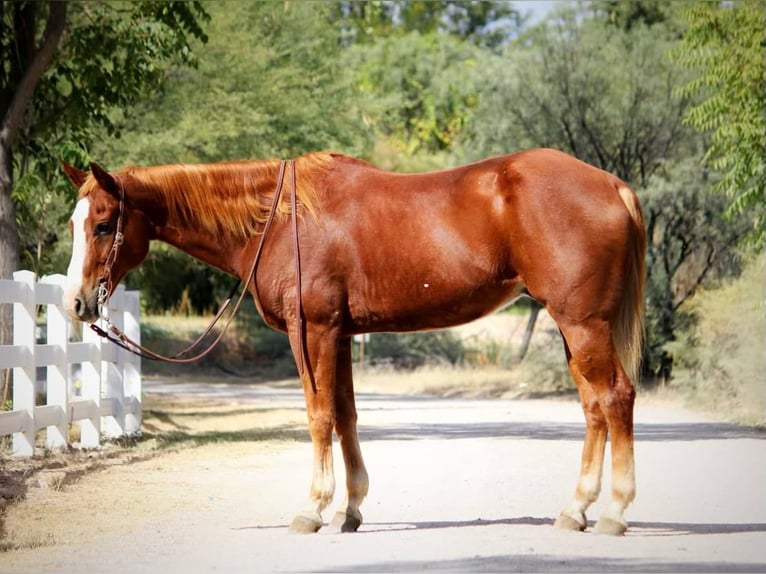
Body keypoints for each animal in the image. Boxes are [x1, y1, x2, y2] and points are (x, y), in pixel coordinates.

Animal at [61, 148, 646, 536]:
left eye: (103, 224)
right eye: (73, 223)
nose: (78, 303)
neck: (279, 220)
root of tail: (612, 186)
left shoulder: (314, 332)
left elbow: (319, 417)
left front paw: (313, 509)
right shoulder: (339, 336)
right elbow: (345, 415)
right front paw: (351, 509)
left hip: (583, 324)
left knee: (615, 398)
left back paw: (615, 512)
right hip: (574, 328)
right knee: (594, 407)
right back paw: (576, 511)